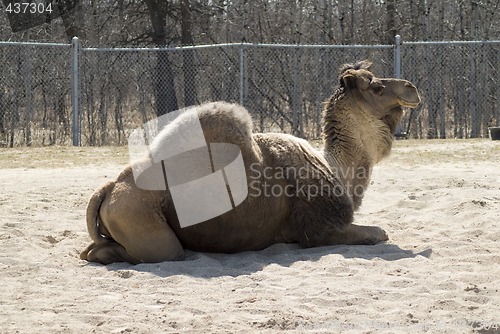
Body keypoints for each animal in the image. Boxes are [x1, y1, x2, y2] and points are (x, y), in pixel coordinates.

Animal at [80, 60, 420, 264]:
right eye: (376, 86)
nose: (411, 87)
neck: (334, 168)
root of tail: (110, 187)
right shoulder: (319, 229)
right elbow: (379, 232)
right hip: (145, 225)